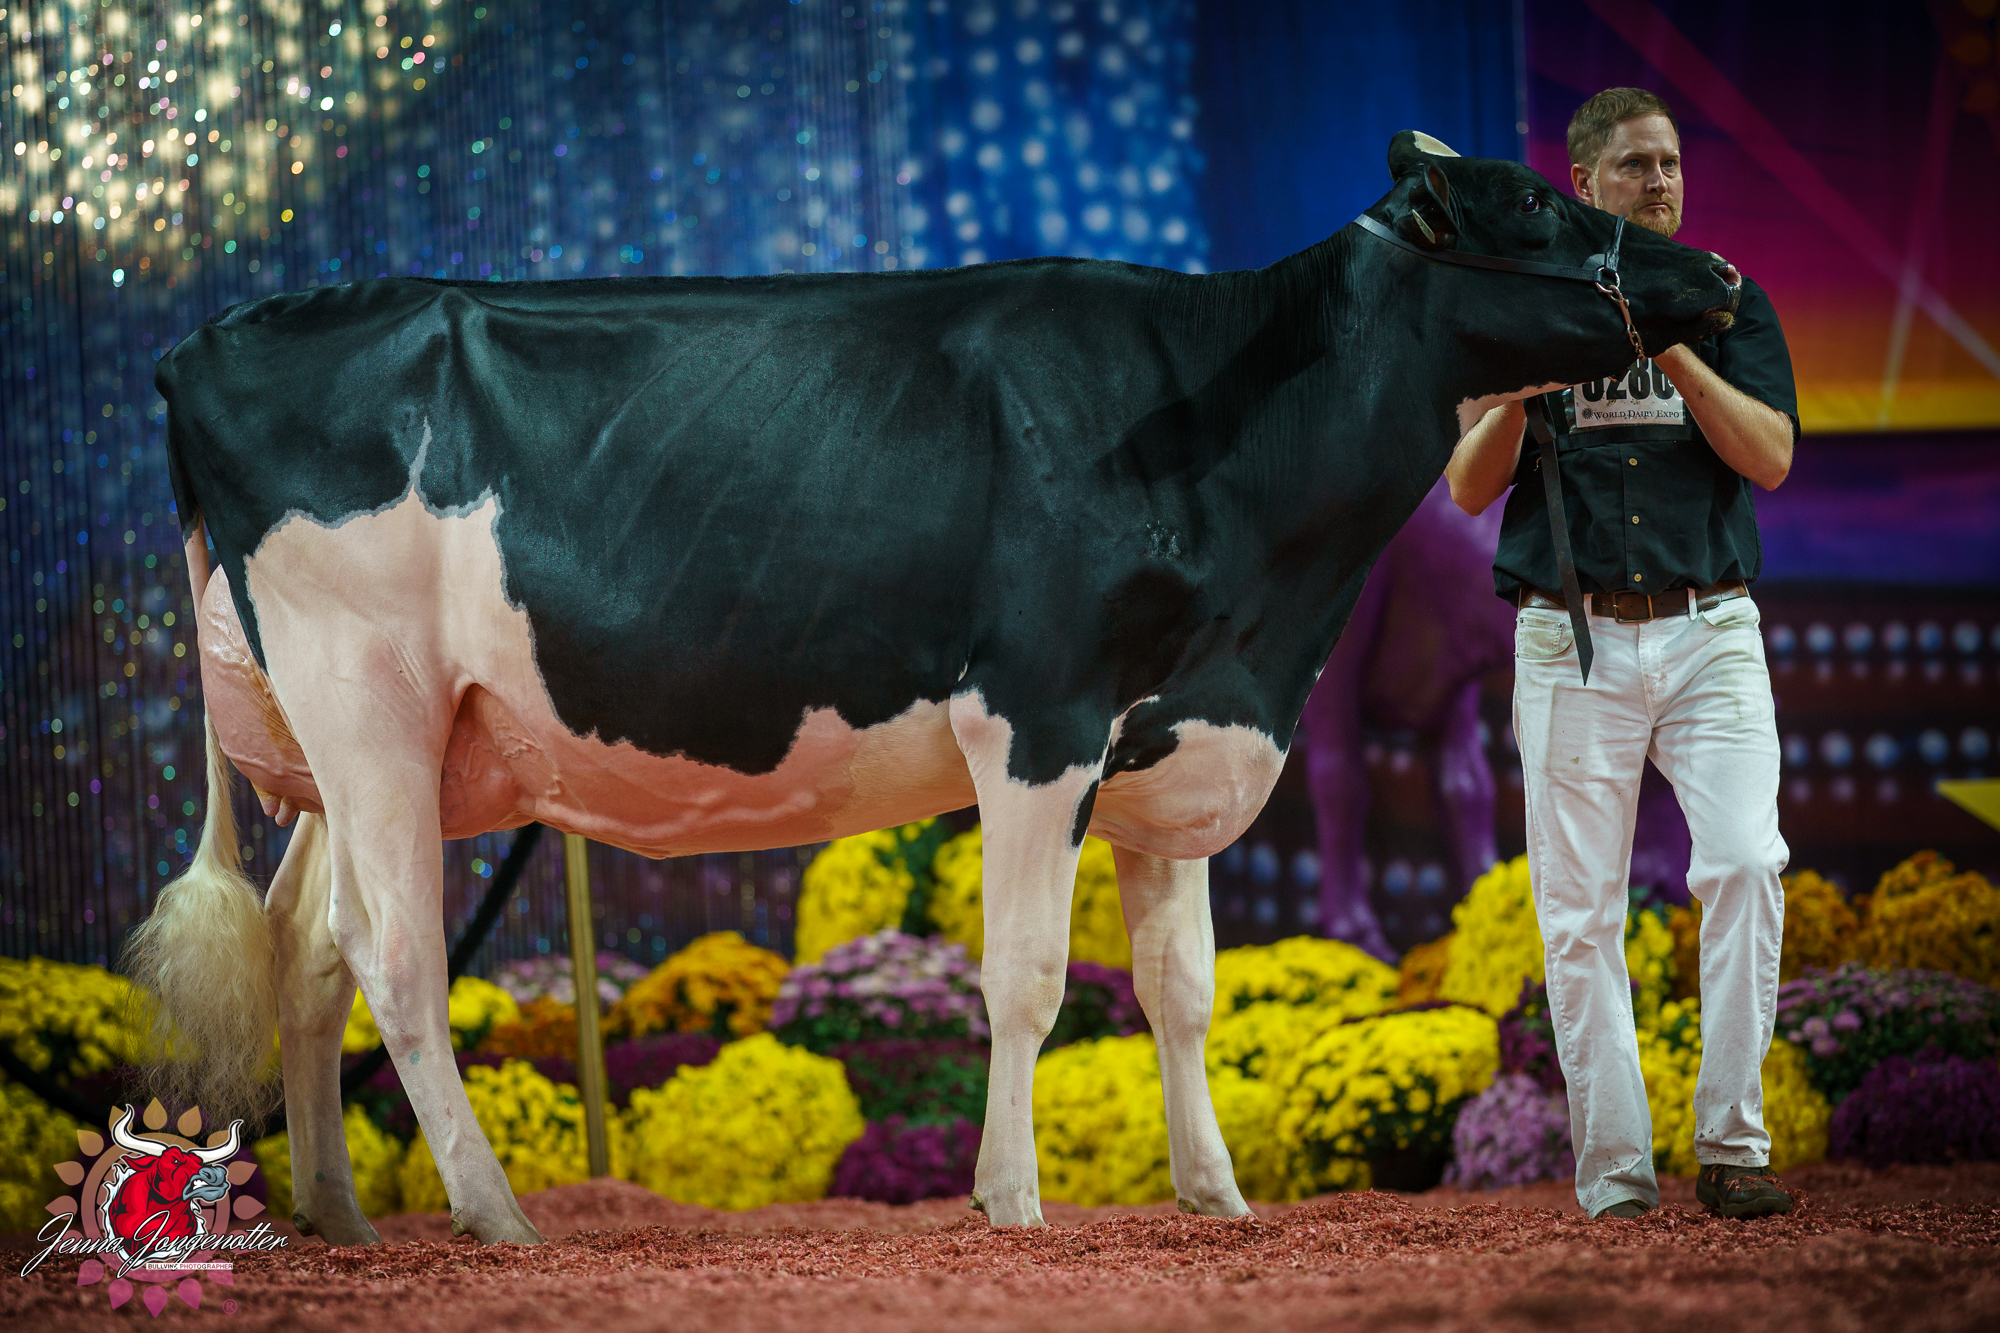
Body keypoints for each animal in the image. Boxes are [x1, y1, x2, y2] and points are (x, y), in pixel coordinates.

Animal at [125, 130, 1739, 1244]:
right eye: (1530, 206)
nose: (1718, 273)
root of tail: (206, 340)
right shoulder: (1036, 714)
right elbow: (1026, 976)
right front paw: (1010, 1200)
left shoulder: (1175, 734)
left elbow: (1181, 989)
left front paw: (1214, 1195)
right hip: (369, 707)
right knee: (395, 955)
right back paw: (495, 1212)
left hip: (365, 751)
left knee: (306, 949)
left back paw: (341, 1213)